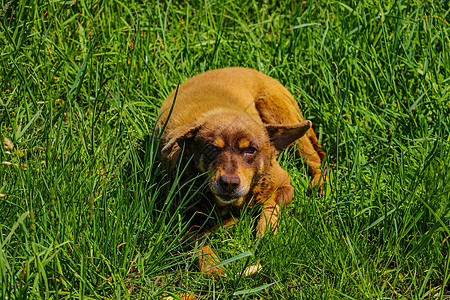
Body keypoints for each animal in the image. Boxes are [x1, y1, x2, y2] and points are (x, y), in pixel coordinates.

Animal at [156, 67, 326, 274]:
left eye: (251, 150)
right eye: (212, 148)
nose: (229, 183)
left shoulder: (283, 185)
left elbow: (269, 208)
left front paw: (265, 234)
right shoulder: (179, 215)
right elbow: (197, 238)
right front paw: (213, 265)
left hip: (281, 115)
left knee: (316, 159)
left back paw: (319, 185)